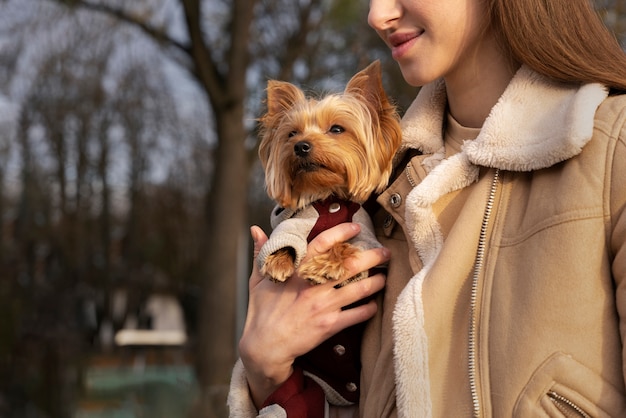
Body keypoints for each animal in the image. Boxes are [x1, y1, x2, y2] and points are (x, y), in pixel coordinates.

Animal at [258, 60, 400, 286]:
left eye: (336, 129)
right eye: (292, 133)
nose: (300, 146)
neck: (329, 197)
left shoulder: (366, 237)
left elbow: (351, 245)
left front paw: (324, 266)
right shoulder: (294, 225)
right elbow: (287, 238)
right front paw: (278, 262)